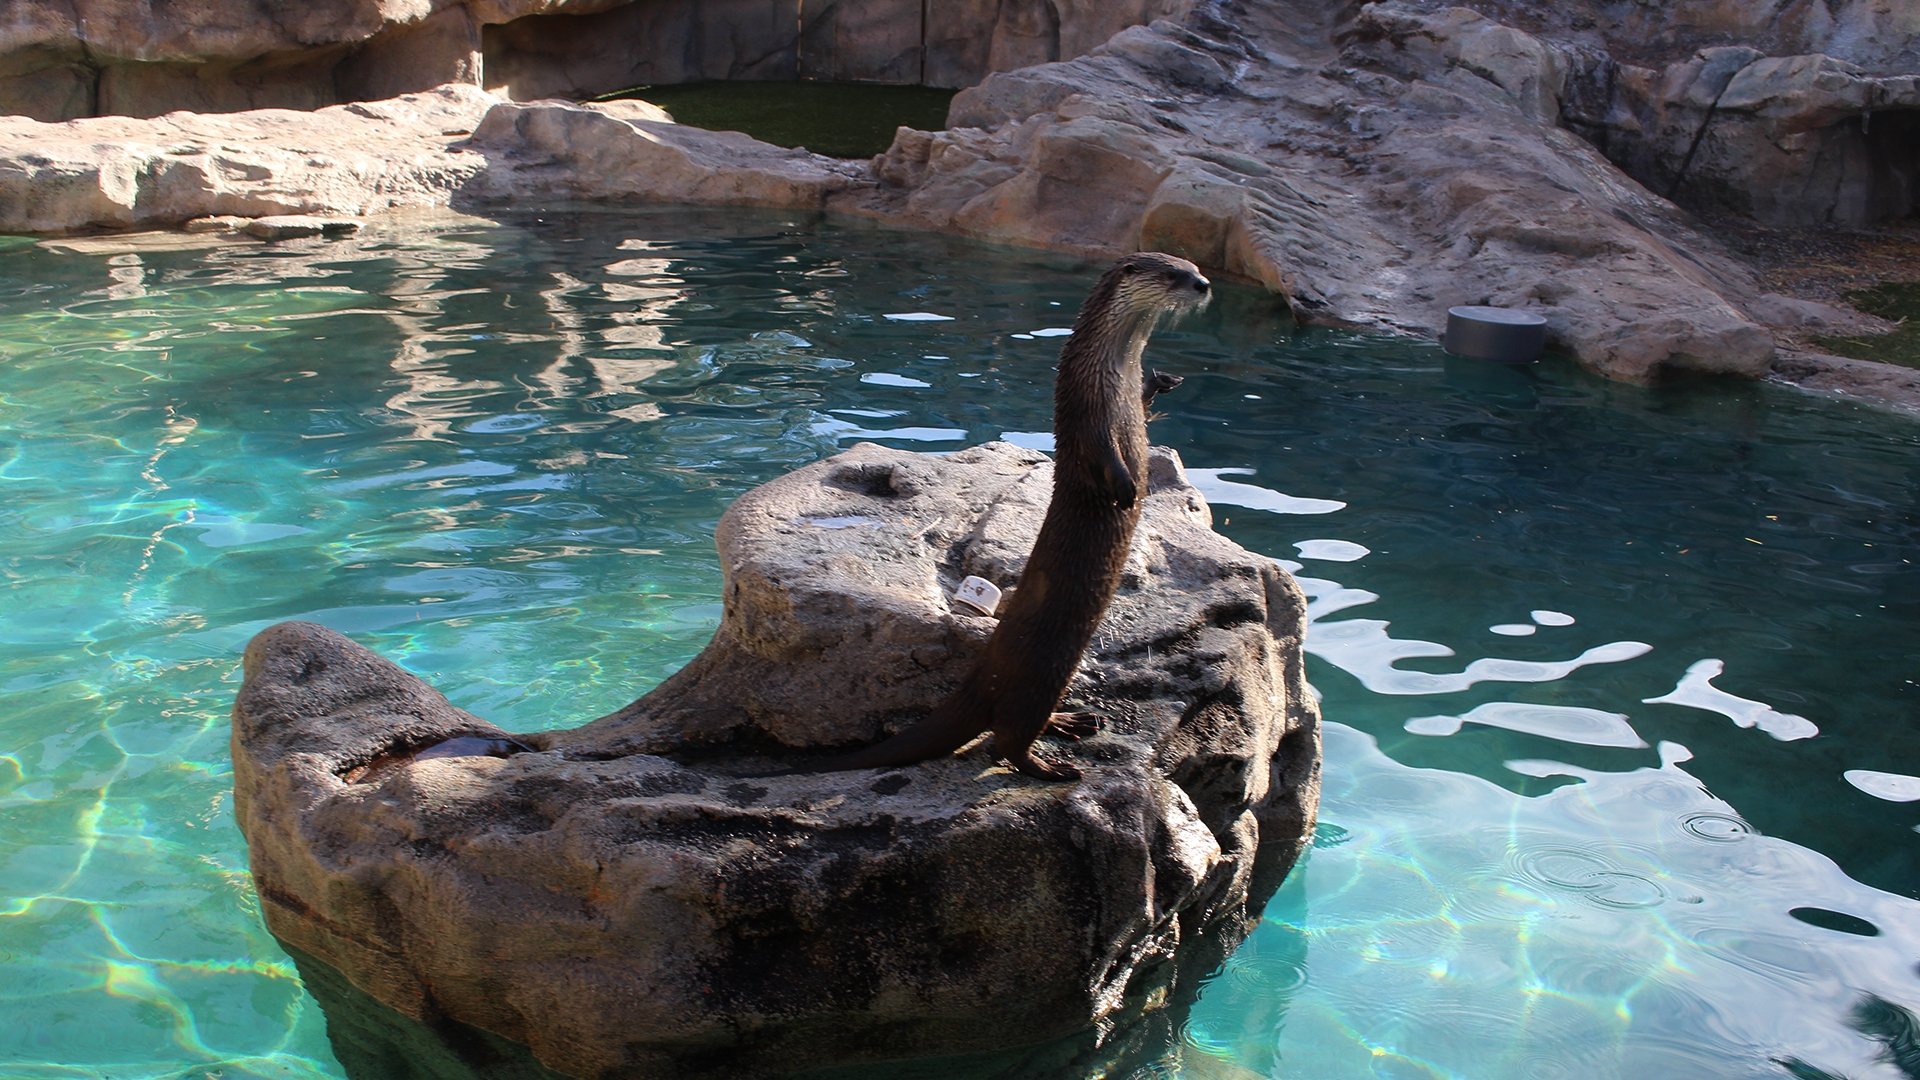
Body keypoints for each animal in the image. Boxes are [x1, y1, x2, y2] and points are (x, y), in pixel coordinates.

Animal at [806, 253, 1211, 781]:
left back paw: (1071, 721)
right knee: (1006, 739)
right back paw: (1052, 767)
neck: (1114, 372)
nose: (1203, 284)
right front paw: (1126, 489)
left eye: (1194, 266)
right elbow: (1103, 454)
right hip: (1038, 677)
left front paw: (1160, 384)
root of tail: (980, 679)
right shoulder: (1089, 410)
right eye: (1172, 274)